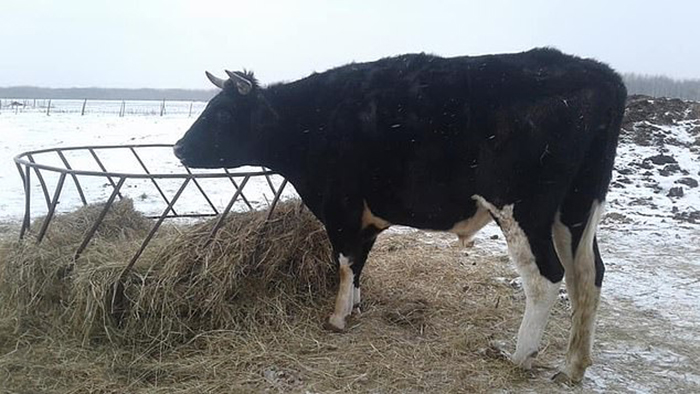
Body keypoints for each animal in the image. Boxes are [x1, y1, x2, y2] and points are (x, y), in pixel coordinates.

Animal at [175, 48, 628, 382]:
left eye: (221, 113)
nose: (178, 148)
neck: (310, 122)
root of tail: (600, 74)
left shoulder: (340, 207)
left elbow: (343, 261)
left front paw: (337, 317)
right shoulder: (366, 217)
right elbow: (358, 263)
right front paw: (356, 306)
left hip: (523, 210)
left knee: (546, 277)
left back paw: (518, 355)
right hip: (576, 208)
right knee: (587, 275)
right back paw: (572, 366)